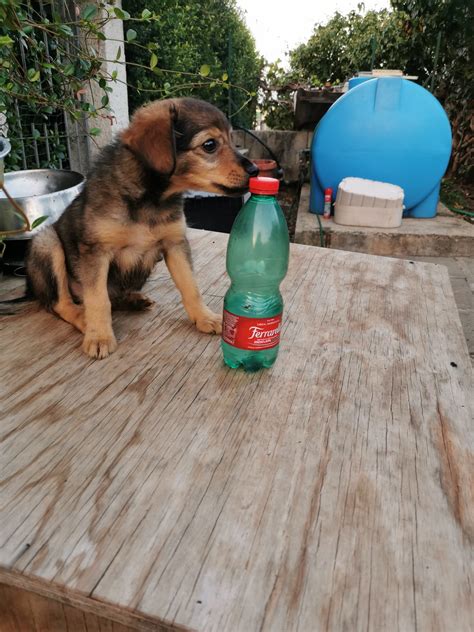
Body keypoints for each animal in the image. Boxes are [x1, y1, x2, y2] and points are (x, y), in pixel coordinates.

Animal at [26, 96, 260, 358]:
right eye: (210, 145)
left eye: (232, 139)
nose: (256, 170)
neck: (152, 198)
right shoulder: (96, 251)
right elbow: (97, 298)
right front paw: (99, 336)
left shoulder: (175, 243)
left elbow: (191, 286)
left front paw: (205, 317)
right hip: (46, 242)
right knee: (61, 302)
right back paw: (84, 319)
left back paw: (133, 301)